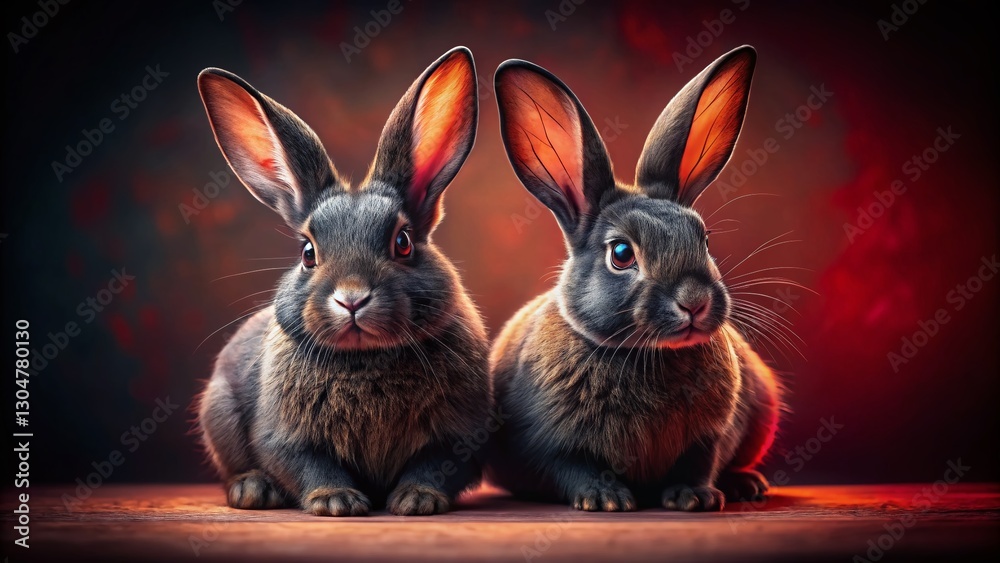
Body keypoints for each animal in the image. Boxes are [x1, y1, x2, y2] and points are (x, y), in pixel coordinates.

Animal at [194, 47, 491, 516]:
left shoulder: (459, 436)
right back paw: (253, 490)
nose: (352, 299)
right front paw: (336, 501)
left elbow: (434, 466)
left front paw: (416, 500)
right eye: (307, 253)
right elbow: (308, 464)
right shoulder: (286, 436)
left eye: (403, 242)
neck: (365, 358)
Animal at [486, 45, 782, 512]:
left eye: (704, 239)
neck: (647, 354)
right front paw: (605, 499)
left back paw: (747, 484)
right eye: (621, 254)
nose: (694, 301)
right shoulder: (550, 444)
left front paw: (694, 498)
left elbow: (699, 462)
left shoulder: (709, 437)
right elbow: (573, 467)